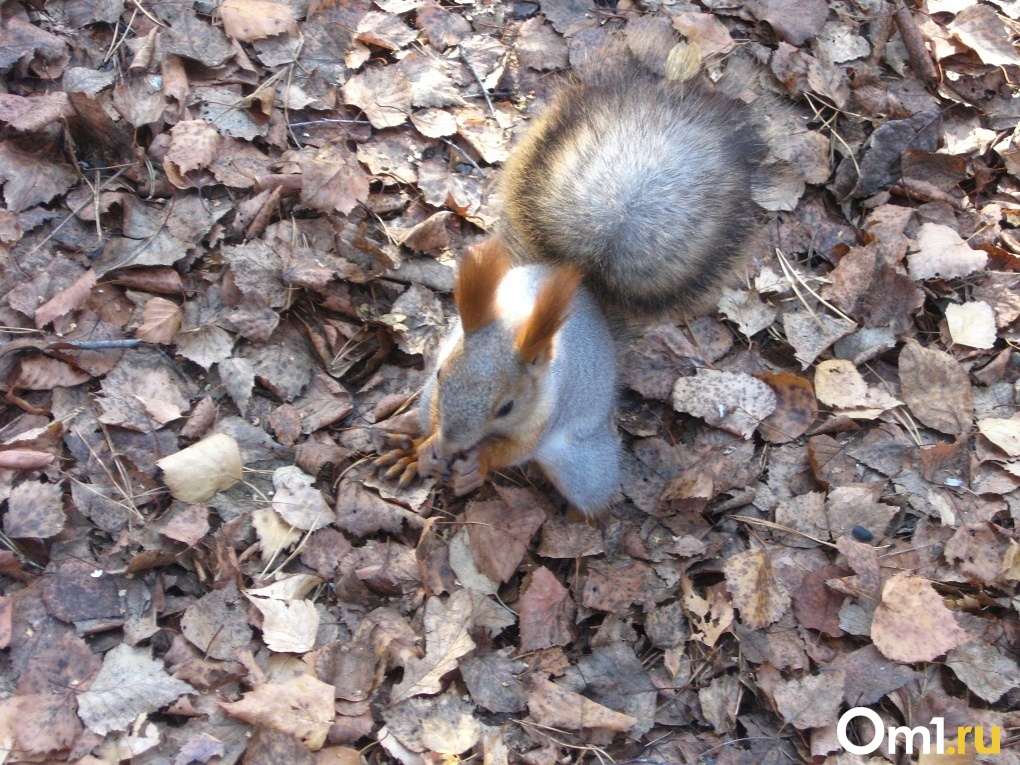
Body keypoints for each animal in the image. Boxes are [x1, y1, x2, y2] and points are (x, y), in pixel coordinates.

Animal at [379, 44, 767, 518]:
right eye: (439, 376)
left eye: (507, 407)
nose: (454, 445)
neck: (519, 320)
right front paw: (429, 447)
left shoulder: (547, 412)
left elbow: (516, 450)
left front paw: (478, 465)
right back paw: (408, 452)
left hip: (581, 461)